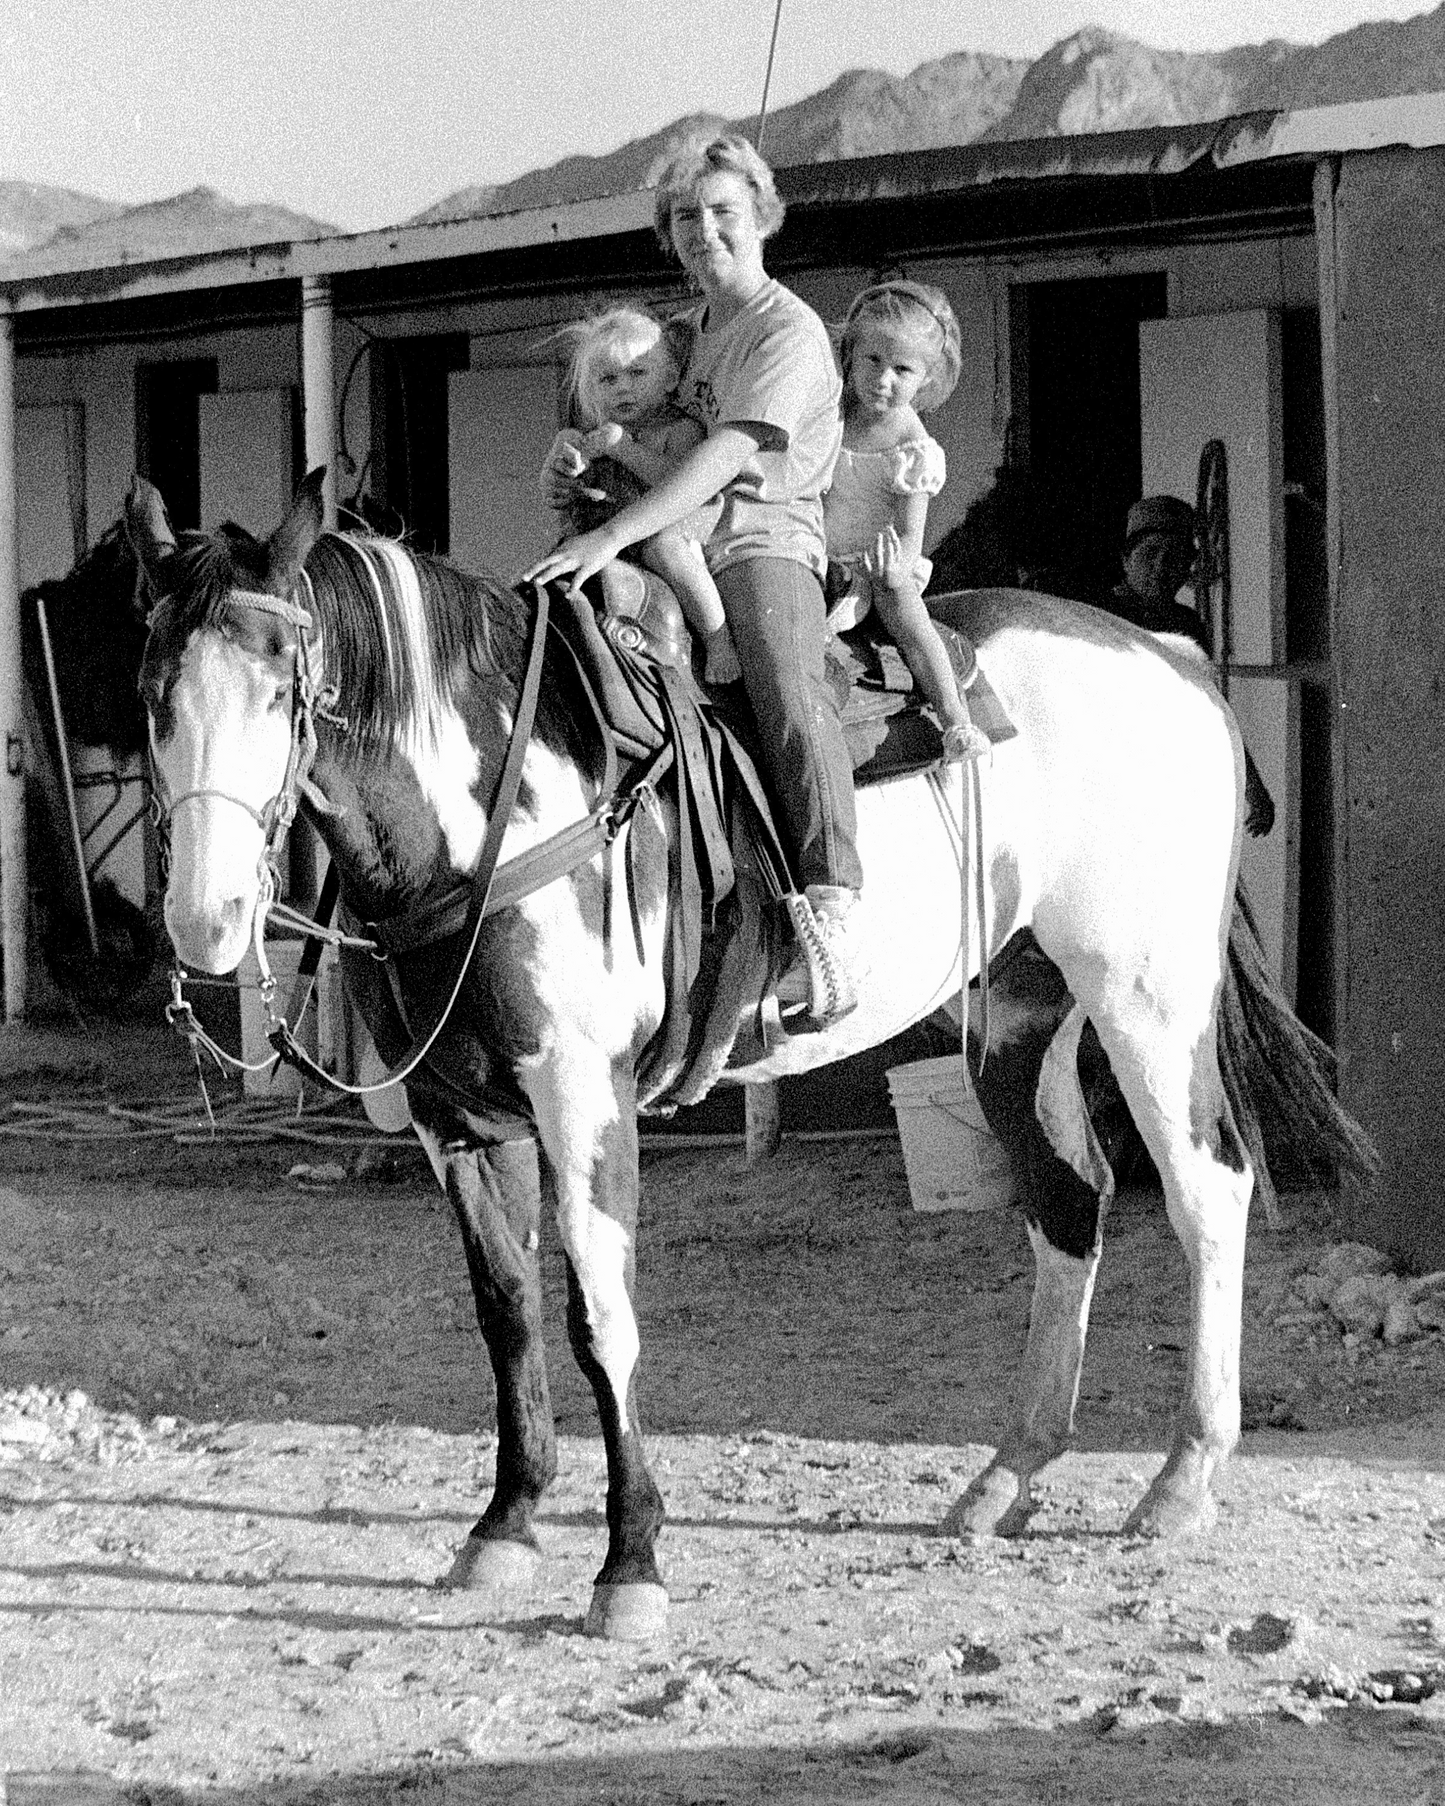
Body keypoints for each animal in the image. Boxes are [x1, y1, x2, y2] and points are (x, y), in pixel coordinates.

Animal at [130, 468, 1375, 1641]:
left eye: (285, 686)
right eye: (150, 697)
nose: (205, 921)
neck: (499, 807)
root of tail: (1167, 655)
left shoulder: (582, 1098)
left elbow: (599, 1319)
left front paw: (629, 1568)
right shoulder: (456, 1122)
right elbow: (507, 1314)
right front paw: (503, 1529)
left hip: (1144, 998)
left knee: (1206, 1192)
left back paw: (1181, 1479)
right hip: (1016, 1014)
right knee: (1067, 1202)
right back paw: (1004, 1476)